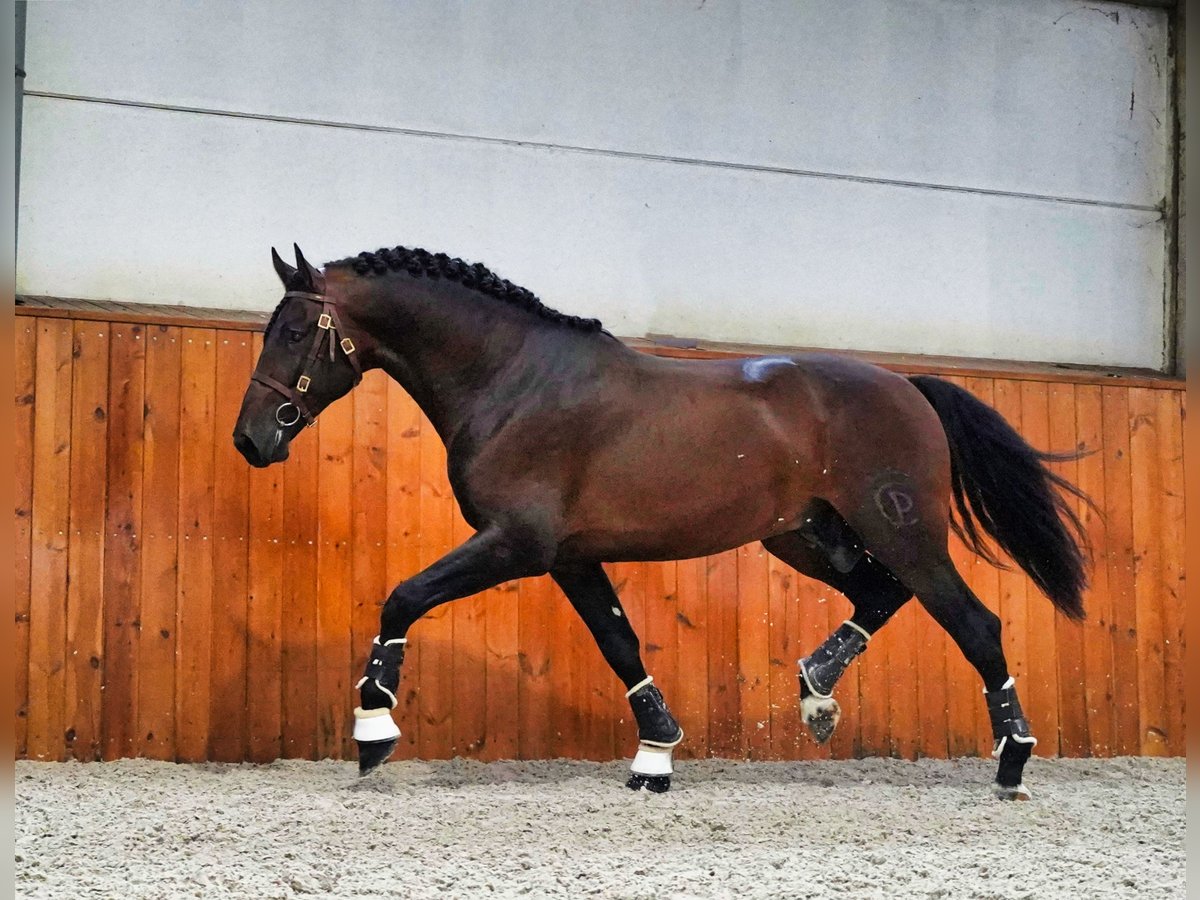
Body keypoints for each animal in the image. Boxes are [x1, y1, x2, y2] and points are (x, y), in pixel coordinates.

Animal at [231, 243, 1089, 801]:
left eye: (296, 331)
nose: (253, 440)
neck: (513, 380)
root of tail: (907, 386)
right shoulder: (568, 556)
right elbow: (620, 645)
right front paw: (655, 756)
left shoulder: (516, 542)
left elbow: (404, 596)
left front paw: (373, 728)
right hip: (812, 534)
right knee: (882, 597)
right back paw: (815, 693)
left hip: (899, 533)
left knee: (975, 625)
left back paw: (1013, 762)